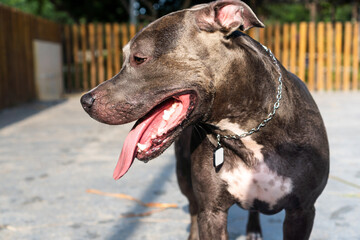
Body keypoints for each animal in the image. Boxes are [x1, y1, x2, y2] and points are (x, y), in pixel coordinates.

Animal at [81, 0, 330, 239]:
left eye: (139, 58)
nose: (85, 101)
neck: (247, 133)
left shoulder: (302, 211)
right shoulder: (212, 211)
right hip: (184, 177)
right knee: (192, 209)